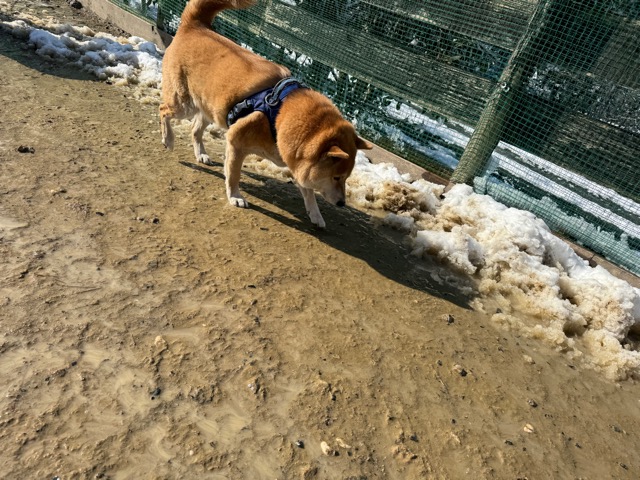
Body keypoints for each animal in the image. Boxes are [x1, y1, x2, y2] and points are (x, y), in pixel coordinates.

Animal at [160, 0, 372, 228]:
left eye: (346, 178)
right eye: (336, 177)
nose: (342, 203)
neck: (280, 113)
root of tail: (195, 25)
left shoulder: (296, 161)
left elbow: (308, 192)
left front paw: (315, 215)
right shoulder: (236, 142)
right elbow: (233, 175)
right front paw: (235, 196)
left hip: (209, 109)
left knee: (195, 130)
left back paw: (201, 154)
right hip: (184, 105)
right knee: (164, 111)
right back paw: (168, 139)